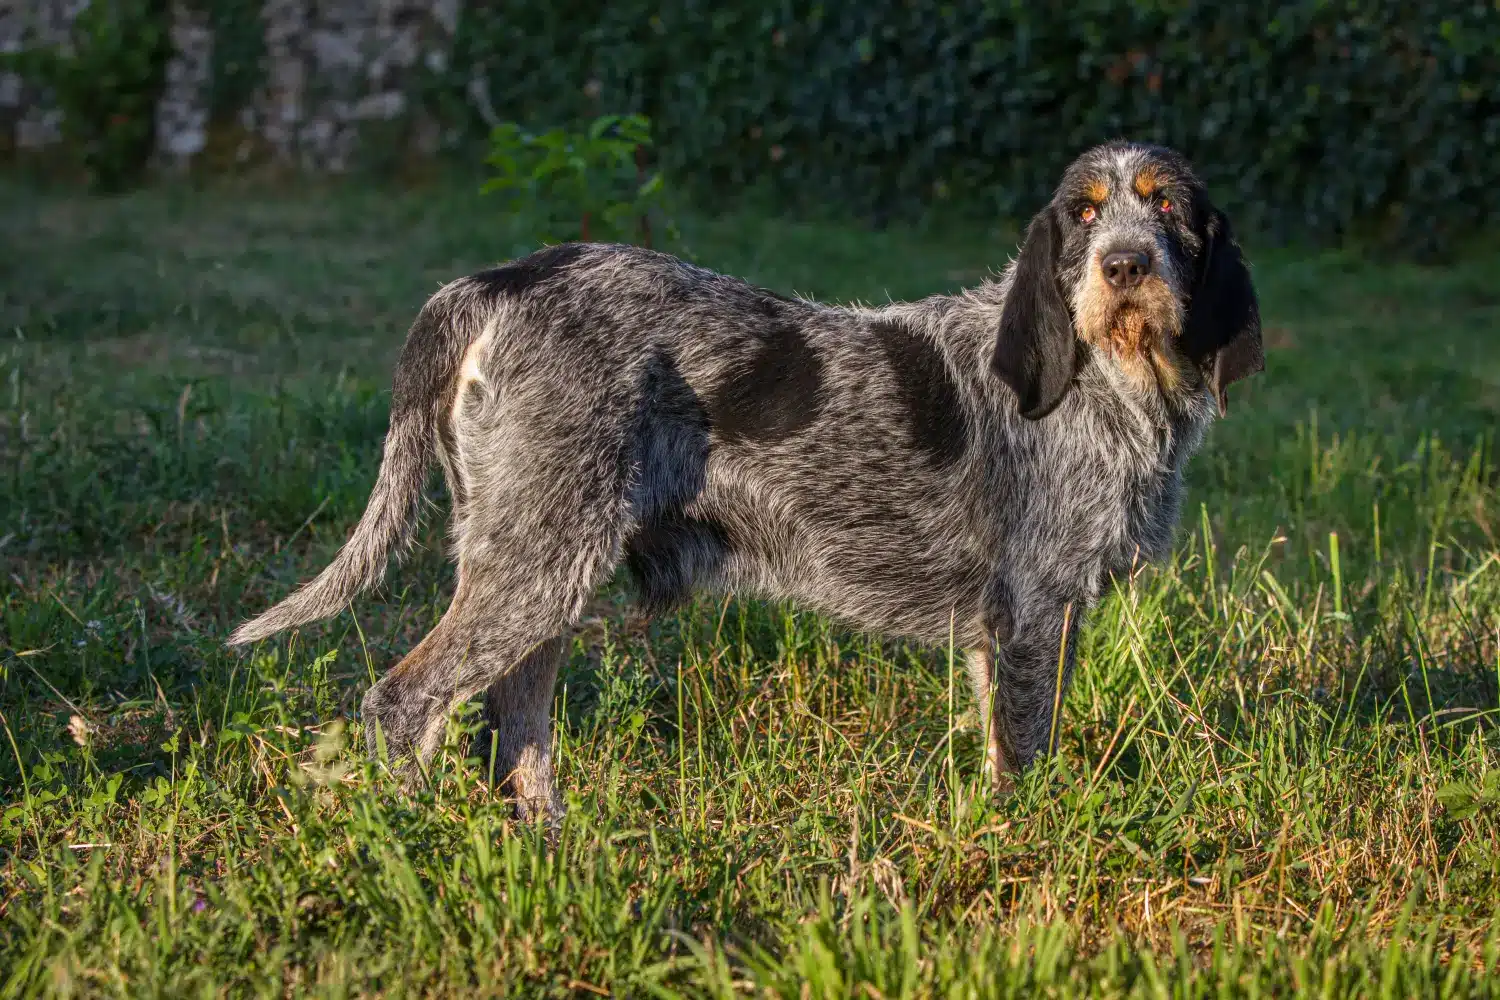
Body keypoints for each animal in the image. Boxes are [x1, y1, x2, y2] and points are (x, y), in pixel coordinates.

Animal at [231, 142, 1266, 821]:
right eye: (1085, 213)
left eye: (1167, 209)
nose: (1124, 265)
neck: (1112, 379)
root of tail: (500, 280)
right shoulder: (1034, 612)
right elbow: (1025, 753)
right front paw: (1028, 851)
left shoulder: (1006, 626)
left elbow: (995, 742)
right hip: (537, 564)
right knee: (404, 703)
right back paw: (408, 844)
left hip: (539, 564)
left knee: (514, 715)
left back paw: (549, 843)